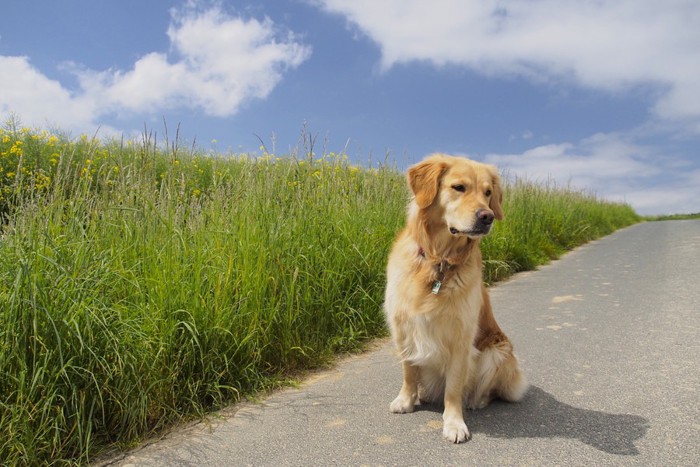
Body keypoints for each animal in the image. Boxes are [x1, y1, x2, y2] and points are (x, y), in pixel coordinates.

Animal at [386, 155, 528, 444]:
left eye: (488, 193)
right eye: (459, 187)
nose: (488, 216)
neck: (439, 261)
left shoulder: (461, 339)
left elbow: (453, 388)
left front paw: (454, 423)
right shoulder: (403, 328)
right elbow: (408, 371)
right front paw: (405, 400)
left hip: (498, 352)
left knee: (487, 390)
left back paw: (476, 401)